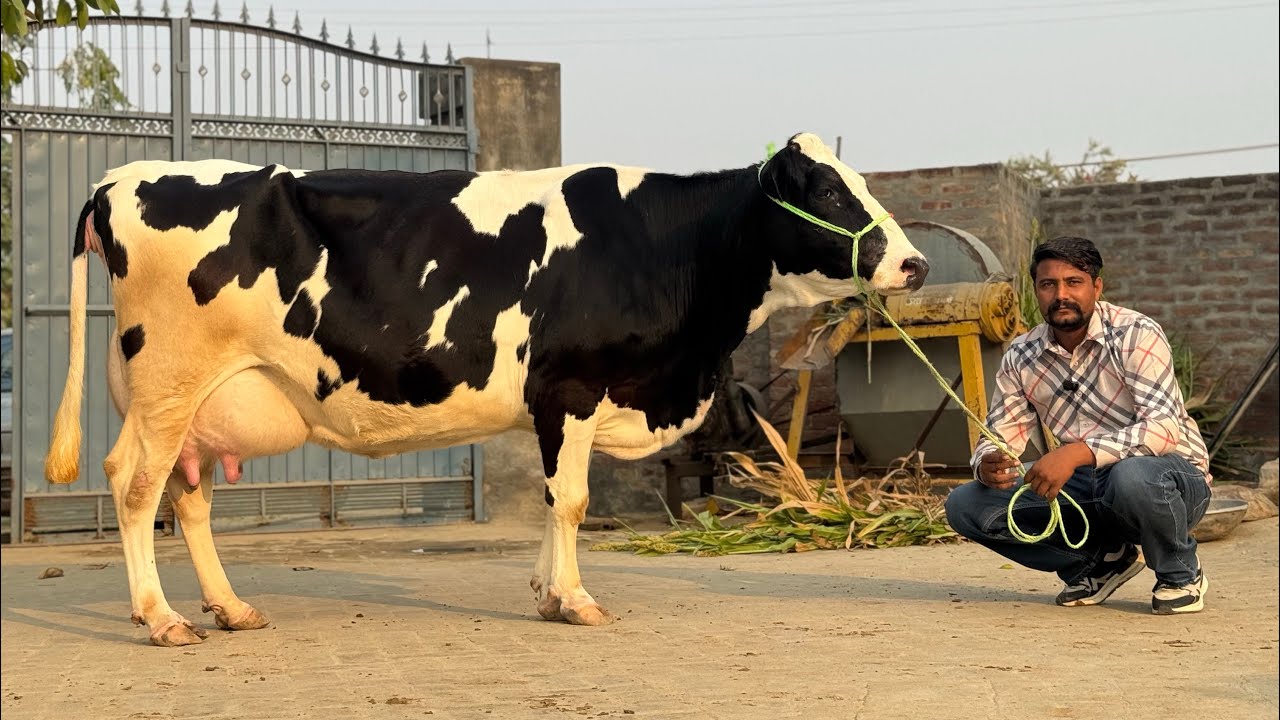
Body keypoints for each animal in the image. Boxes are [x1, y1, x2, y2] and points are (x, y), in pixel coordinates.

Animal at [44, 132, 928, 647]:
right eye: (829, 191)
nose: (914, 263)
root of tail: (119, 177)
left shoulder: (559, 403)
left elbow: (553, 498)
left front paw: (544, 591)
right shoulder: (571, 386)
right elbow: (572, 501)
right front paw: (574, 600)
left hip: (194, 400)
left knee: (185, 496)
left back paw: (229, 608)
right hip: (169, 380)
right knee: (133, 484)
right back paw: (159, 618)